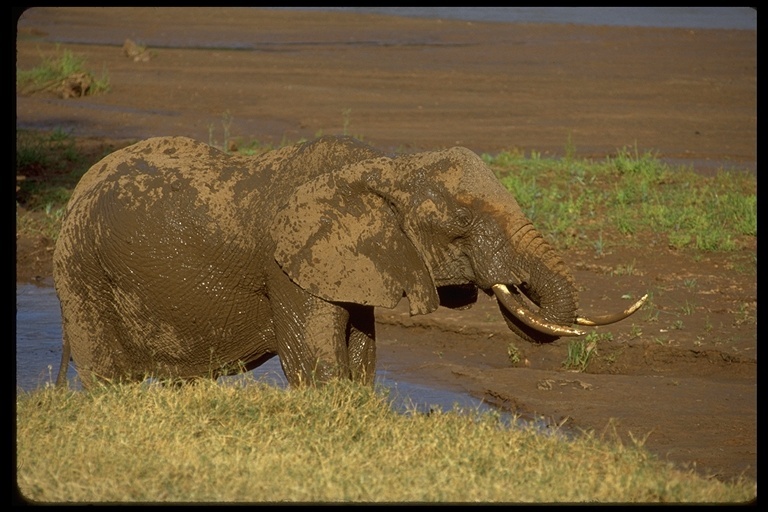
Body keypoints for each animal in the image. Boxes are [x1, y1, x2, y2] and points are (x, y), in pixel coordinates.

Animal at [51, 136, 644, 388]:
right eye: (459, 219)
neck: (385, 166)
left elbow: (362, 358)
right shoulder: (287, 265)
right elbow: (317, 365)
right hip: (81, 273)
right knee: (105, 377)